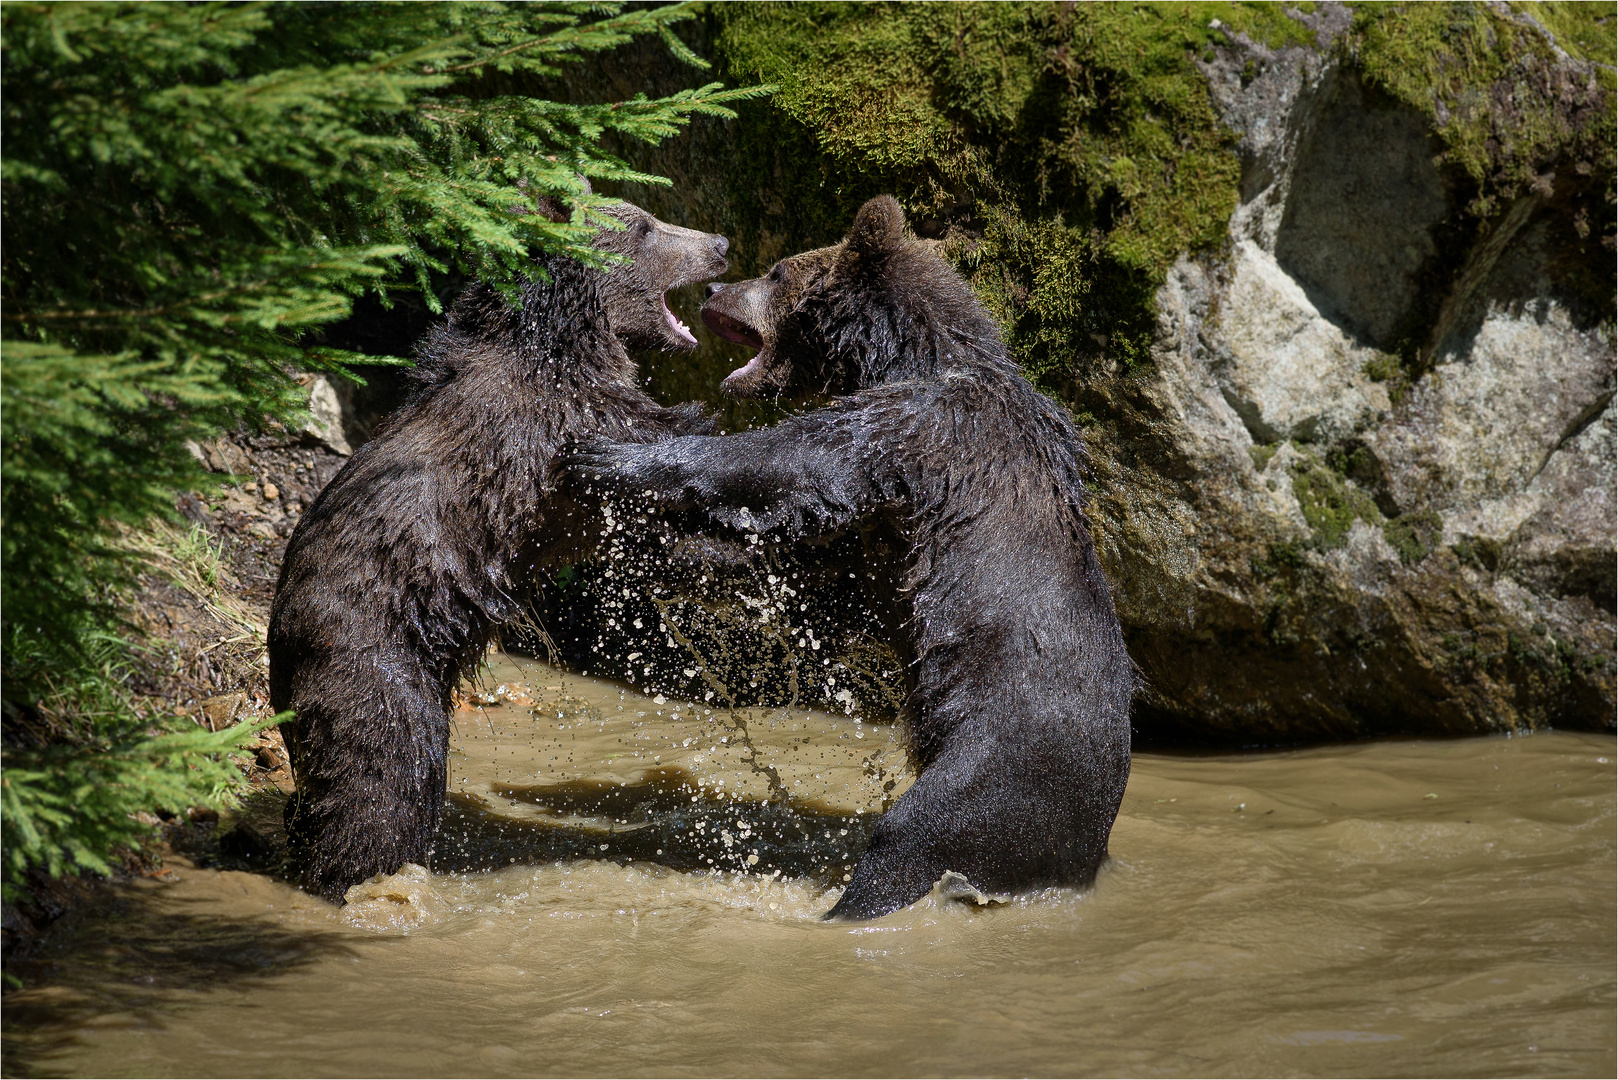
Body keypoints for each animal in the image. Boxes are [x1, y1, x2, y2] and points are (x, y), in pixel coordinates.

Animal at [270, 198, 728, 900]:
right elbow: (642, 459)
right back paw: (363, 873)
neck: (566, 341)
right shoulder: (554, 431)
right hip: (373, 654)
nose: (721, 244)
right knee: (385, 775)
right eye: (646, 227)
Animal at [569, 196, 1139, 919]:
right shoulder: (877, 535)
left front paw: (611, 456)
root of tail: (1089, 836)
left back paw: (842, 907)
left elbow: (792, 458)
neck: (905, 357)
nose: (716, 289)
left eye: (778, 270)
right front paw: (668, 545)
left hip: (994, 773)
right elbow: (810, 568)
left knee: (908, 843)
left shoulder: (918, 432)